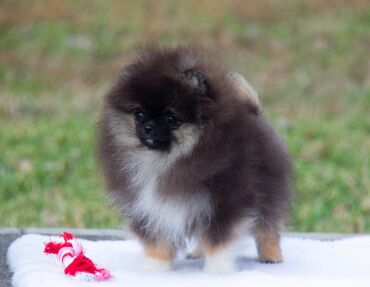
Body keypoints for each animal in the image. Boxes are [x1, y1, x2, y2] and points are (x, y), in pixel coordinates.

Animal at [97, 45, 292, 274]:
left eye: (171, 119)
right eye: (139, 114)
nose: (147, 127)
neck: (166, 160)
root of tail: (254, 113)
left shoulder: (222, 203)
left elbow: (219, 241)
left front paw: (217, 270)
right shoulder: (148, 208)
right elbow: (157, 241)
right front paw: (155, 267)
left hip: (268, 190)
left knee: (267, 228)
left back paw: (271, 257)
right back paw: (197, 253)